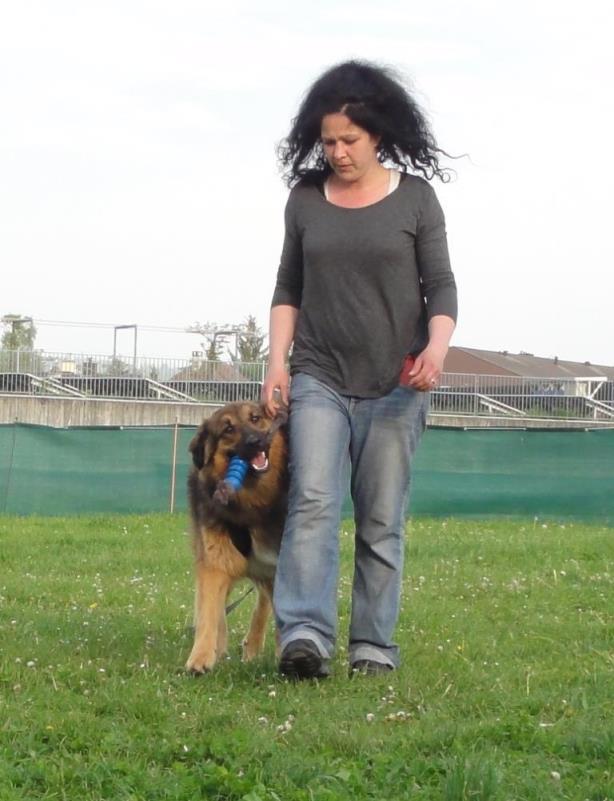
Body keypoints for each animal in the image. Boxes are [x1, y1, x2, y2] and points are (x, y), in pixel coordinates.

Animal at [185, 401, 288, 673]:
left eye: (255, 418)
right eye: (228, 429)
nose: (256, 441)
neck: (250, 503)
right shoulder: (216, 561)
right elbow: (209, 611)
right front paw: (201, 657)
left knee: (264, 601)